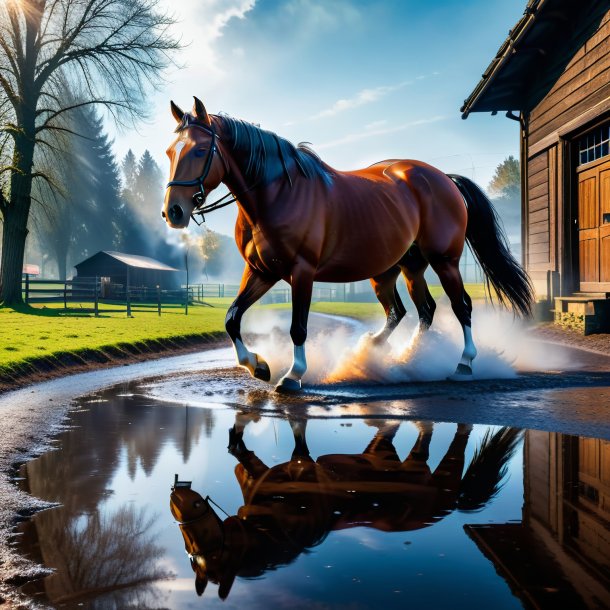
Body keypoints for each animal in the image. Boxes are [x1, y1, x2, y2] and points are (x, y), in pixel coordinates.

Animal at [163, 97, 532, 388]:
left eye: (200, 150)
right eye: (170, 152)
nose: (173, 212)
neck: (276, 194)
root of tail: (444, 179)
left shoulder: (302, 272)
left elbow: (298, 327)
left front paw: (293, 375)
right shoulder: (261, 271)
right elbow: (232, 317)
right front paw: (259, 366)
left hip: (445, 262)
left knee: (461, 306)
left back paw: (463, 364)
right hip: (400, 269)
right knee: (415, 310)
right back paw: (392, 355)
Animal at [169, 414, 520, 600]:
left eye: (204, 537)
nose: (175, 496)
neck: (274, 527)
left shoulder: (297, 468)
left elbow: (292, 443)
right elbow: (244, 453)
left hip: (428, 472)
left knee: (450, 444)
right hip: (388, 456)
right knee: (410, 437)